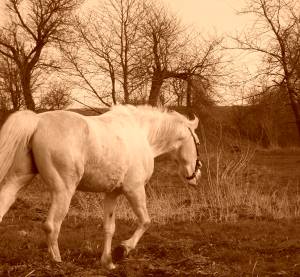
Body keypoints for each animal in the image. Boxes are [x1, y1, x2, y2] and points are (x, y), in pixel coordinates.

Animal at [0, 103, 202, 268]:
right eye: (197, 142)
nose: (196, 176)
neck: (141, 134)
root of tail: (38, 121)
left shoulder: (112, 194)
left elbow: (109, 228)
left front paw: (108, 261)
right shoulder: (134, 190)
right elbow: (145, 221)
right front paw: (122, 250)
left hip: (19, 178)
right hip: (63, 191)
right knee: (52, 225)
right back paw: (57, 261)